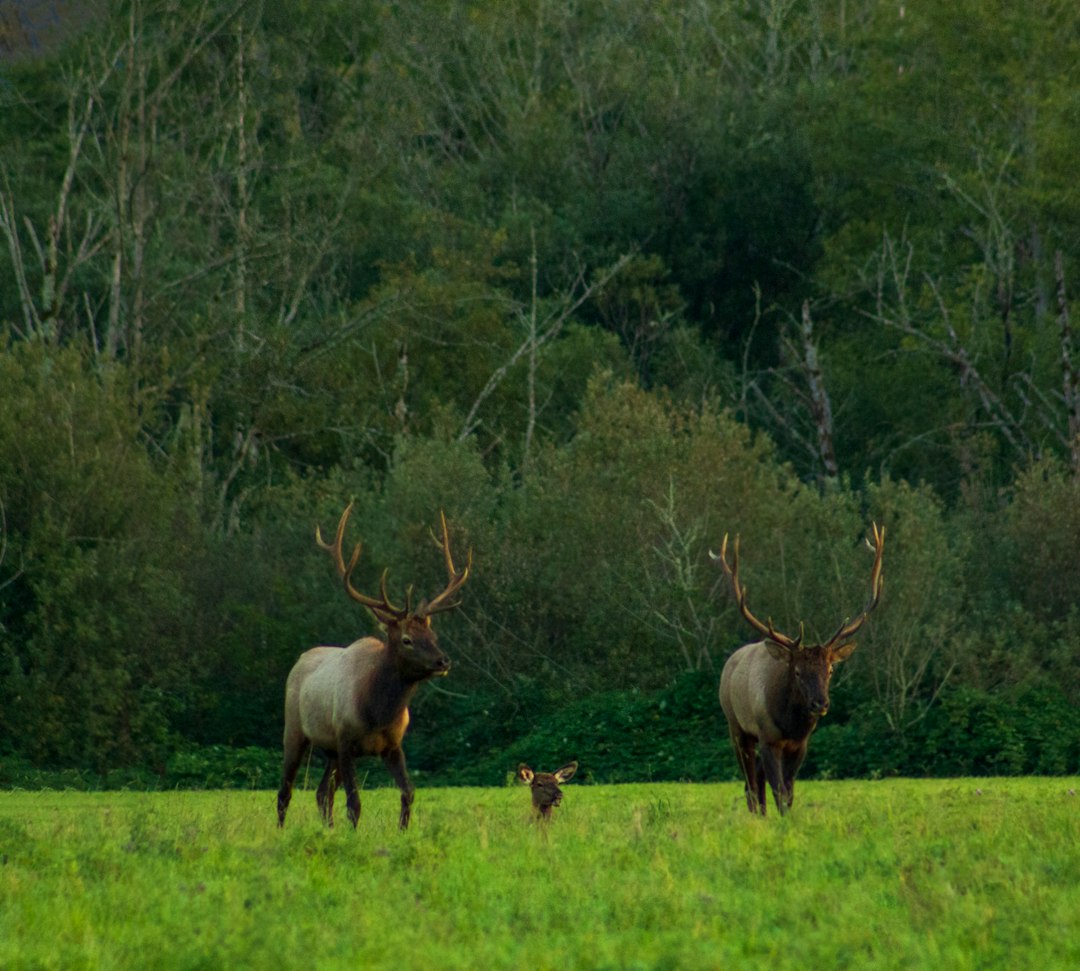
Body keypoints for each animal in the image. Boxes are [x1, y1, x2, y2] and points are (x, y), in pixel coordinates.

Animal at [277, 502, 470, 831]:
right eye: (406, 639)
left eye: (432, 636)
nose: (443, 661)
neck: (377, 712)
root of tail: (300, 659)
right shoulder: (345, 740)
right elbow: (354, 803)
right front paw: (354, 835)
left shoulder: (393, 745)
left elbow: (408, 793)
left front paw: (403, 831)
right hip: (295, 730)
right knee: (286, 791)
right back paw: (282, 830)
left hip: (329, 750)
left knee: (322, 793)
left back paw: (329, 830)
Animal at [710, 524, 884, 816]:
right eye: (798, 671)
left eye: (830, 670)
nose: (820, 704)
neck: (790, 725)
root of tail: (729, 664)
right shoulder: (768, 738)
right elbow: (779, 788)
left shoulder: (800, 744)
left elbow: (788, 791)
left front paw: (786, 818)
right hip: (736, 726)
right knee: (749, 781)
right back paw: (756, 815)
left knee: (755, 779)